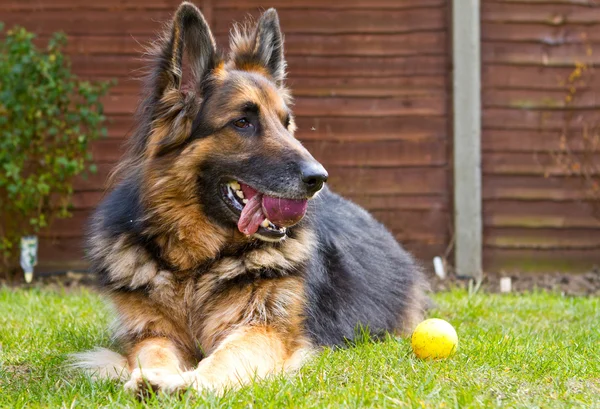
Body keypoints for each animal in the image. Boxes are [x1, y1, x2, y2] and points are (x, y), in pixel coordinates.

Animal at [76, 1, 426, 394]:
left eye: (285, 123)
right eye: (242, 123)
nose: (318, 178)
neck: (196, 263)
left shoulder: (262, 327)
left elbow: (225, 357)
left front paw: (189, 383)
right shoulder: (152, 332)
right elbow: (154, 353)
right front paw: (155, 377)